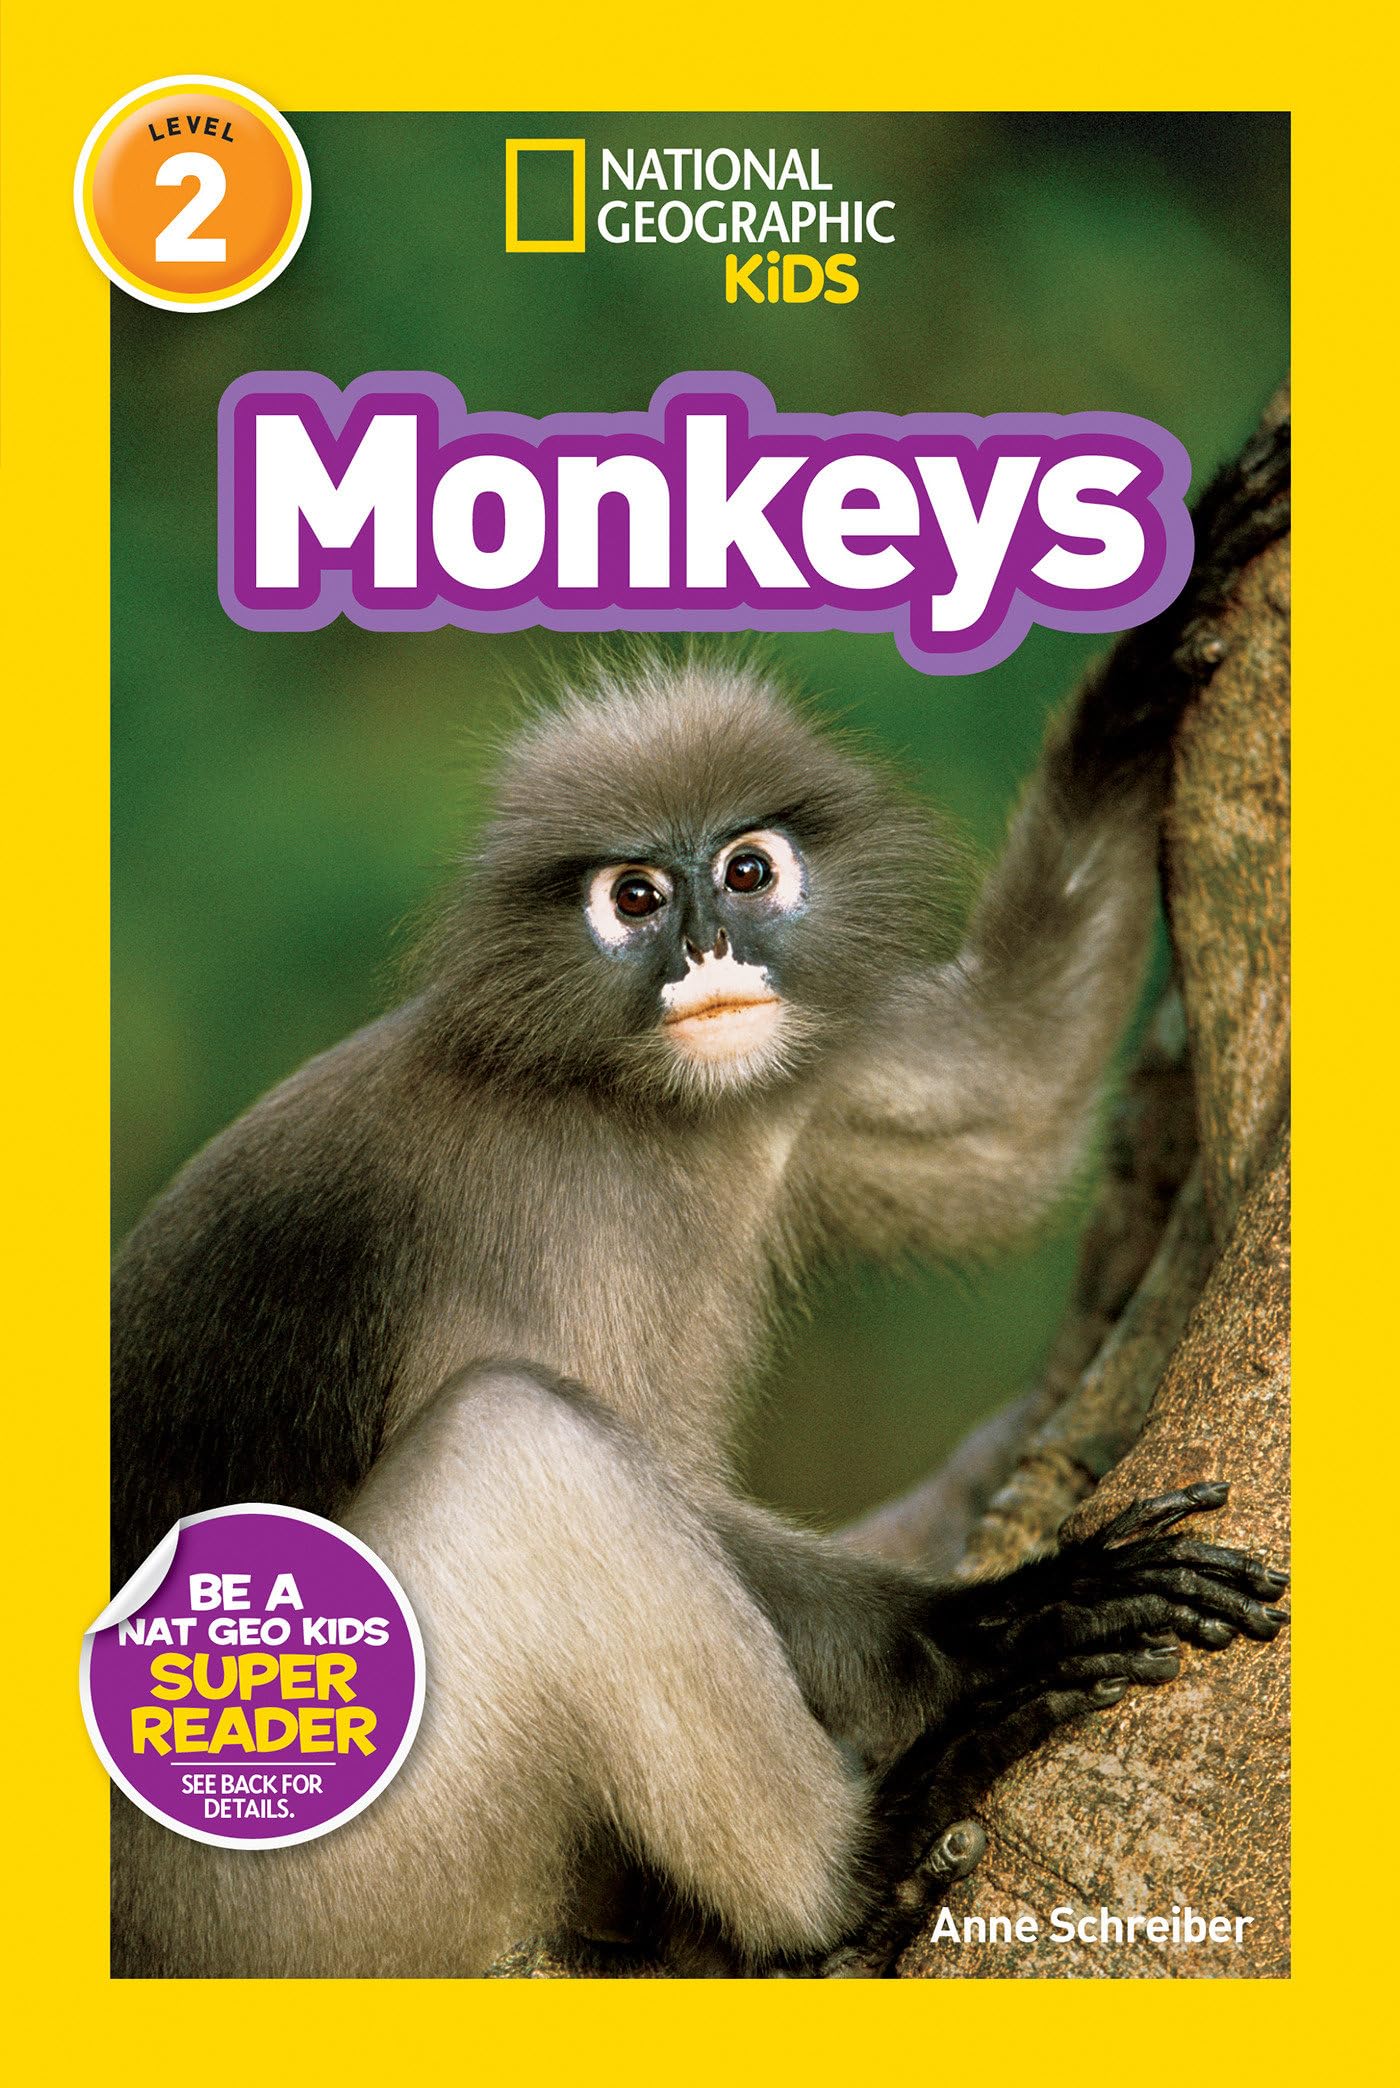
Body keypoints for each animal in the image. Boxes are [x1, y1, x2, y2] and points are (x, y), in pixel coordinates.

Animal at [110, 436, 1291, 1980]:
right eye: (633, 896)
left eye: (744, 870)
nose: (708, 950)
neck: (636, 1111)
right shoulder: (532, 1230)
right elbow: (644, 1477)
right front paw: (986, 1632)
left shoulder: (788, 1084)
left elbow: (1007, 1106)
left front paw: (1152, 650)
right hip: (308, 1889)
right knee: (521, 1449)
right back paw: (844, 1880)